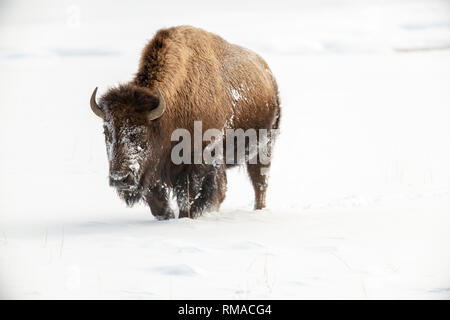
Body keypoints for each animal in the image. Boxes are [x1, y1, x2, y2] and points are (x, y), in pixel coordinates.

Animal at [89, 25, 280, 220]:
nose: (120, 179)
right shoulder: (154, 173)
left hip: (263, 148)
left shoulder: (200, 165)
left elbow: (192, 200)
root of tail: (268, 74)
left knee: (259, 184)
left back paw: (259, 209)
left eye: (142, 134)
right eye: (106, 132)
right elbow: (159, 204)